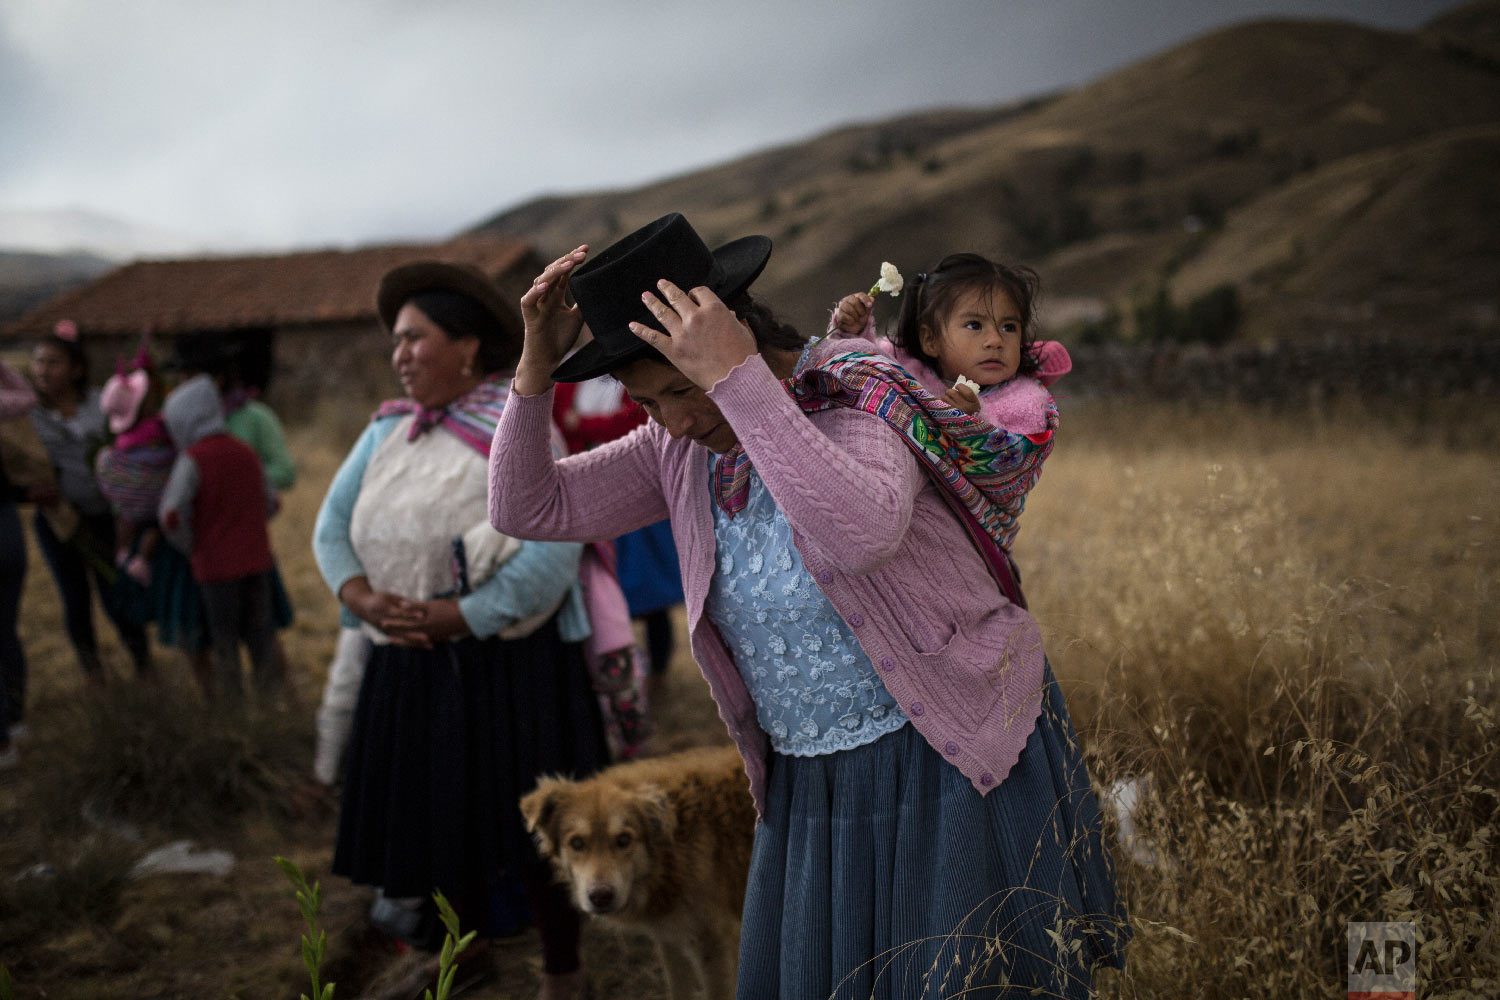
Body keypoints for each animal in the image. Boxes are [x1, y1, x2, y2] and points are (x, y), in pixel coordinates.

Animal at [522, 743, 756, 1000]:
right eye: (576, 843)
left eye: (624, 839)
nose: (601, 897)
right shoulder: (670, 939)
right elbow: (678, 989)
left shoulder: (716, 945)